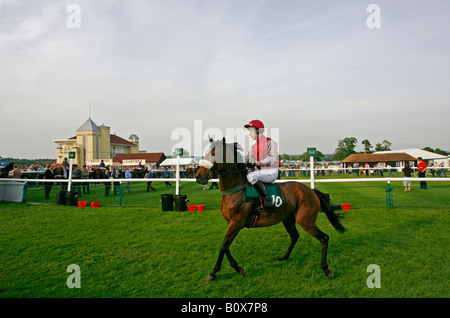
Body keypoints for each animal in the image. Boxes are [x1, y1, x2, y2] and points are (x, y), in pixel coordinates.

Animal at [195, 138, 346, 282]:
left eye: (214, 153)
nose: (198, 176)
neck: (237, 191)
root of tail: (311, 190)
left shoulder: (236, 223)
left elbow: (223, 246)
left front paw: (214, 273)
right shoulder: (232, 224)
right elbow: (225, 247)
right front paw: (236, 268)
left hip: (306, 221)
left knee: (324, 238)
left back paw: (326, 269)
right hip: (288, 219)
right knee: (295, 236)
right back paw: (283, 257)